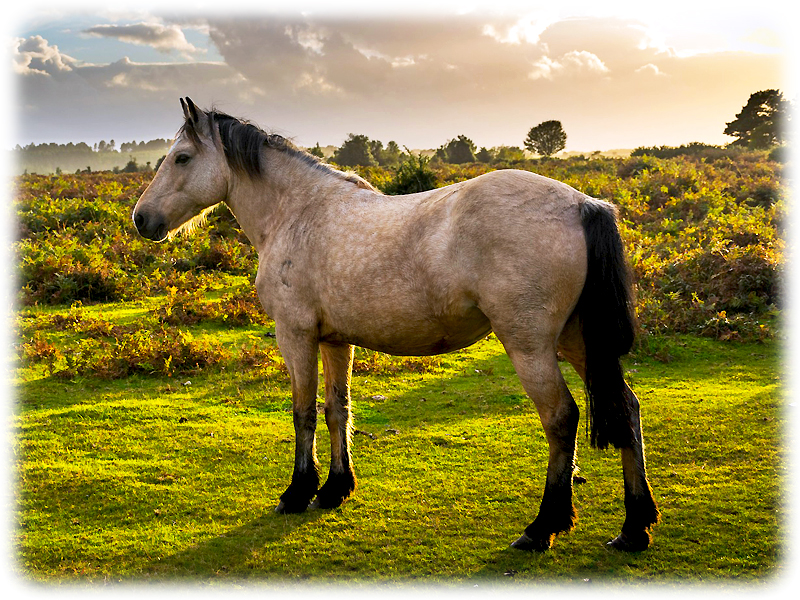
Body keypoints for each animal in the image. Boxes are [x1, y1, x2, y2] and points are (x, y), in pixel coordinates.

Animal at [132, 97, 659, 552]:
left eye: (181, 158)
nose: (141, 219)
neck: (297, 213)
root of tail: (582, 203)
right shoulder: (333, 340)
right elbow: (337, 409)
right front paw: (335, 489)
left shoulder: (295, 335)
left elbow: (303, 412)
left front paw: (297, 492)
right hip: (578, 340)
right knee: (627, 407)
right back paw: (634, 527)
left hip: (530, 345)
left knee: (561, 418)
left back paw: (542, 527)